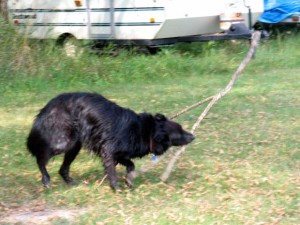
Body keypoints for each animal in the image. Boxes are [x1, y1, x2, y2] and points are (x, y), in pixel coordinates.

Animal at [27, 92, 193, 189]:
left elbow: (131, 165)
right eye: (179, 132)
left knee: (62, 168)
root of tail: (49, 105)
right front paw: (116, 187)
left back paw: (69, 181)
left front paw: (128, 181)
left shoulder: (119, 154)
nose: (193, 136)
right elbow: (112, 172)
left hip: (75, 145)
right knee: (41, 159)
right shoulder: (108, 151)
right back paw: (46, 180)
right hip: (63, 142)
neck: (146, 131)